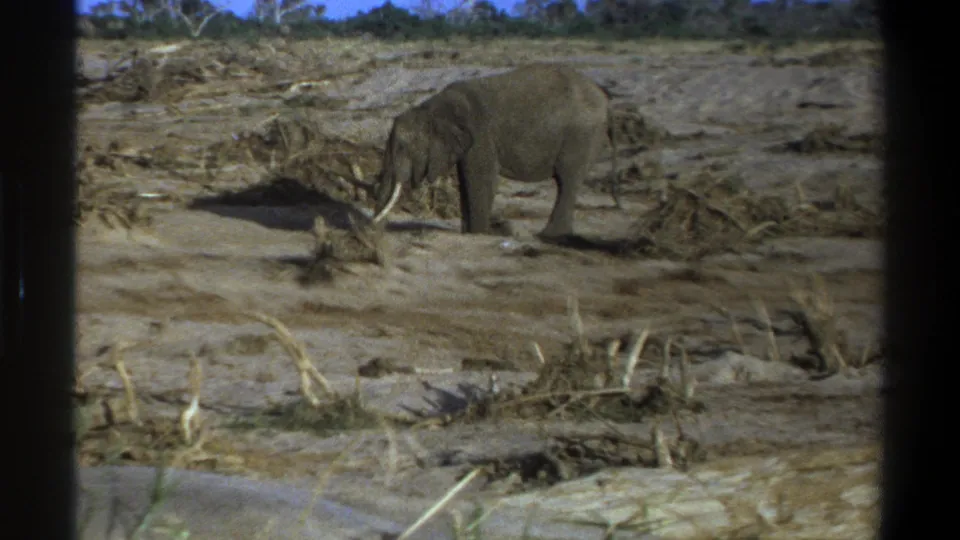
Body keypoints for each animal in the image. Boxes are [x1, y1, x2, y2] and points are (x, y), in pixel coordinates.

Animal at [370, 63, 621, 239]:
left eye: (403, 147)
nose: (377, 229)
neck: (431, 107)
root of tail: (607, 102)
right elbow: (466, 180)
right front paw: (468, 233)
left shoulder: (481, 133)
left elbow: (481, 178)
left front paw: (479, 234)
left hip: (582, 134)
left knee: (568, 179)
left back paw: (549, 236)